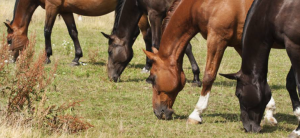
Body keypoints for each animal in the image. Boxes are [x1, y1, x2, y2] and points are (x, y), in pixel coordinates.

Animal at [4, 0, 149, 66]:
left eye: (9, 40)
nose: (10, 60)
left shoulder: (52, 7)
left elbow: (47, 31)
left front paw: (47, 57)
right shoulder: (65, 11)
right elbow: (73, 32)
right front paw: (77, 58)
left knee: (146, 34)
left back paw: (147, 66)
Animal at [143, 0, 278, 124]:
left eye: (152, 78)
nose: (157, 112)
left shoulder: (216, 39)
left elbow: (208, 77)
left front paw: (196, 114)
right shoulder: (240, 44)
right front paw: (269, 110)